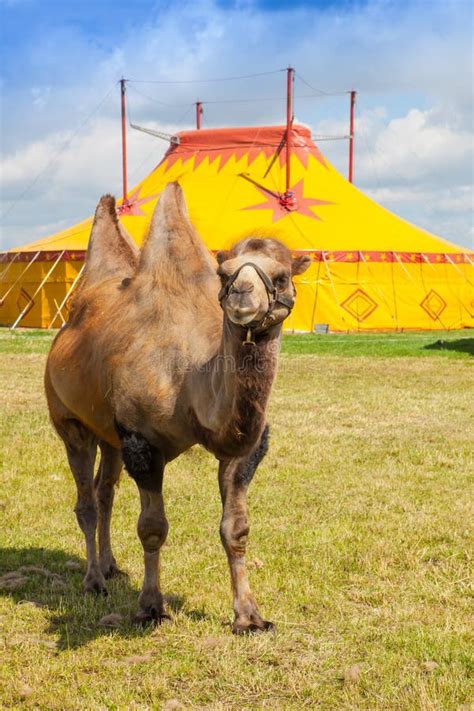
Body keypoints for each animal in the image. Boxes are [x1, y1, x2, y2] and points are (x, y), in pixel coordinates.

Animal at [44, 184, 312, 636]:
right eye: (225, 274)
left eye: (281, 276)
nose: (242, 295)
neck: (190, 379)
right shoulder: (142, 442)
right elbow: (152, 528)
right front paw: (150, 607)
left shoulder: (240, 449)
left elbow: (236, 529)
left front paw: (249, 616)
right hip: (68, 420)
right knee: (85, 500)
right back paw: (94, 581)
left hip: (109, 435)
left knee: (104, 492)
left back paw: (111, 566)